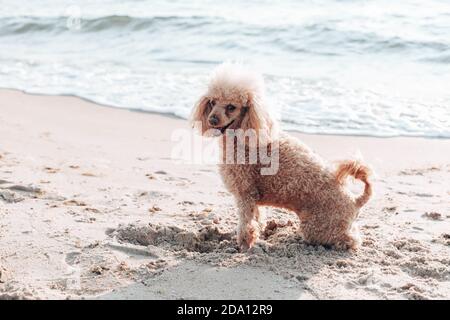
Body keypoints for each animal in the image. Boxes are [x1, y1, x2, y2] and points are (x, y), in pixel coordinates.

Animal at [190, 63, 372, 251]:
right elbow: (256, 217)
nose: (212, 120)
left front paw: (245, 243)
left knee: (350, 240)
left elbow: (246, 223)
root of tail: (355, 200)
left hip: (317, 226)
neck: (244, 136)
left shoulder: (245, 193)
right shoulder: (253, 196)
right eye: (212, 102)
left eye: (231, 107)